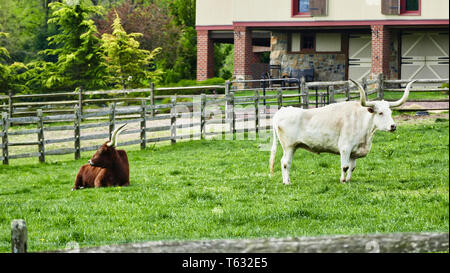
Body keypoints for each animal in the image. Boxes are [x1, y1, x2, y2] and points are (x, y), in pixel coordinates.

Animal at [270, 79, 414, 184]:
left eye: (390, 112)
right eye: (380, 113)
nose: (393, 126)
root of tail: (282, 110)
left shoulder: (354, 152)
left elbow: (352, 167)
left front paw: (349, 179)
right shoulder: (345, 147)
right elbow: (344, 166)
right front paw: (343, 180)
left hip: (293, 147)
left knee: (285, 162)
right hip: (289, 146)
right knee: (285, 162)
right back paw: (287, 182)